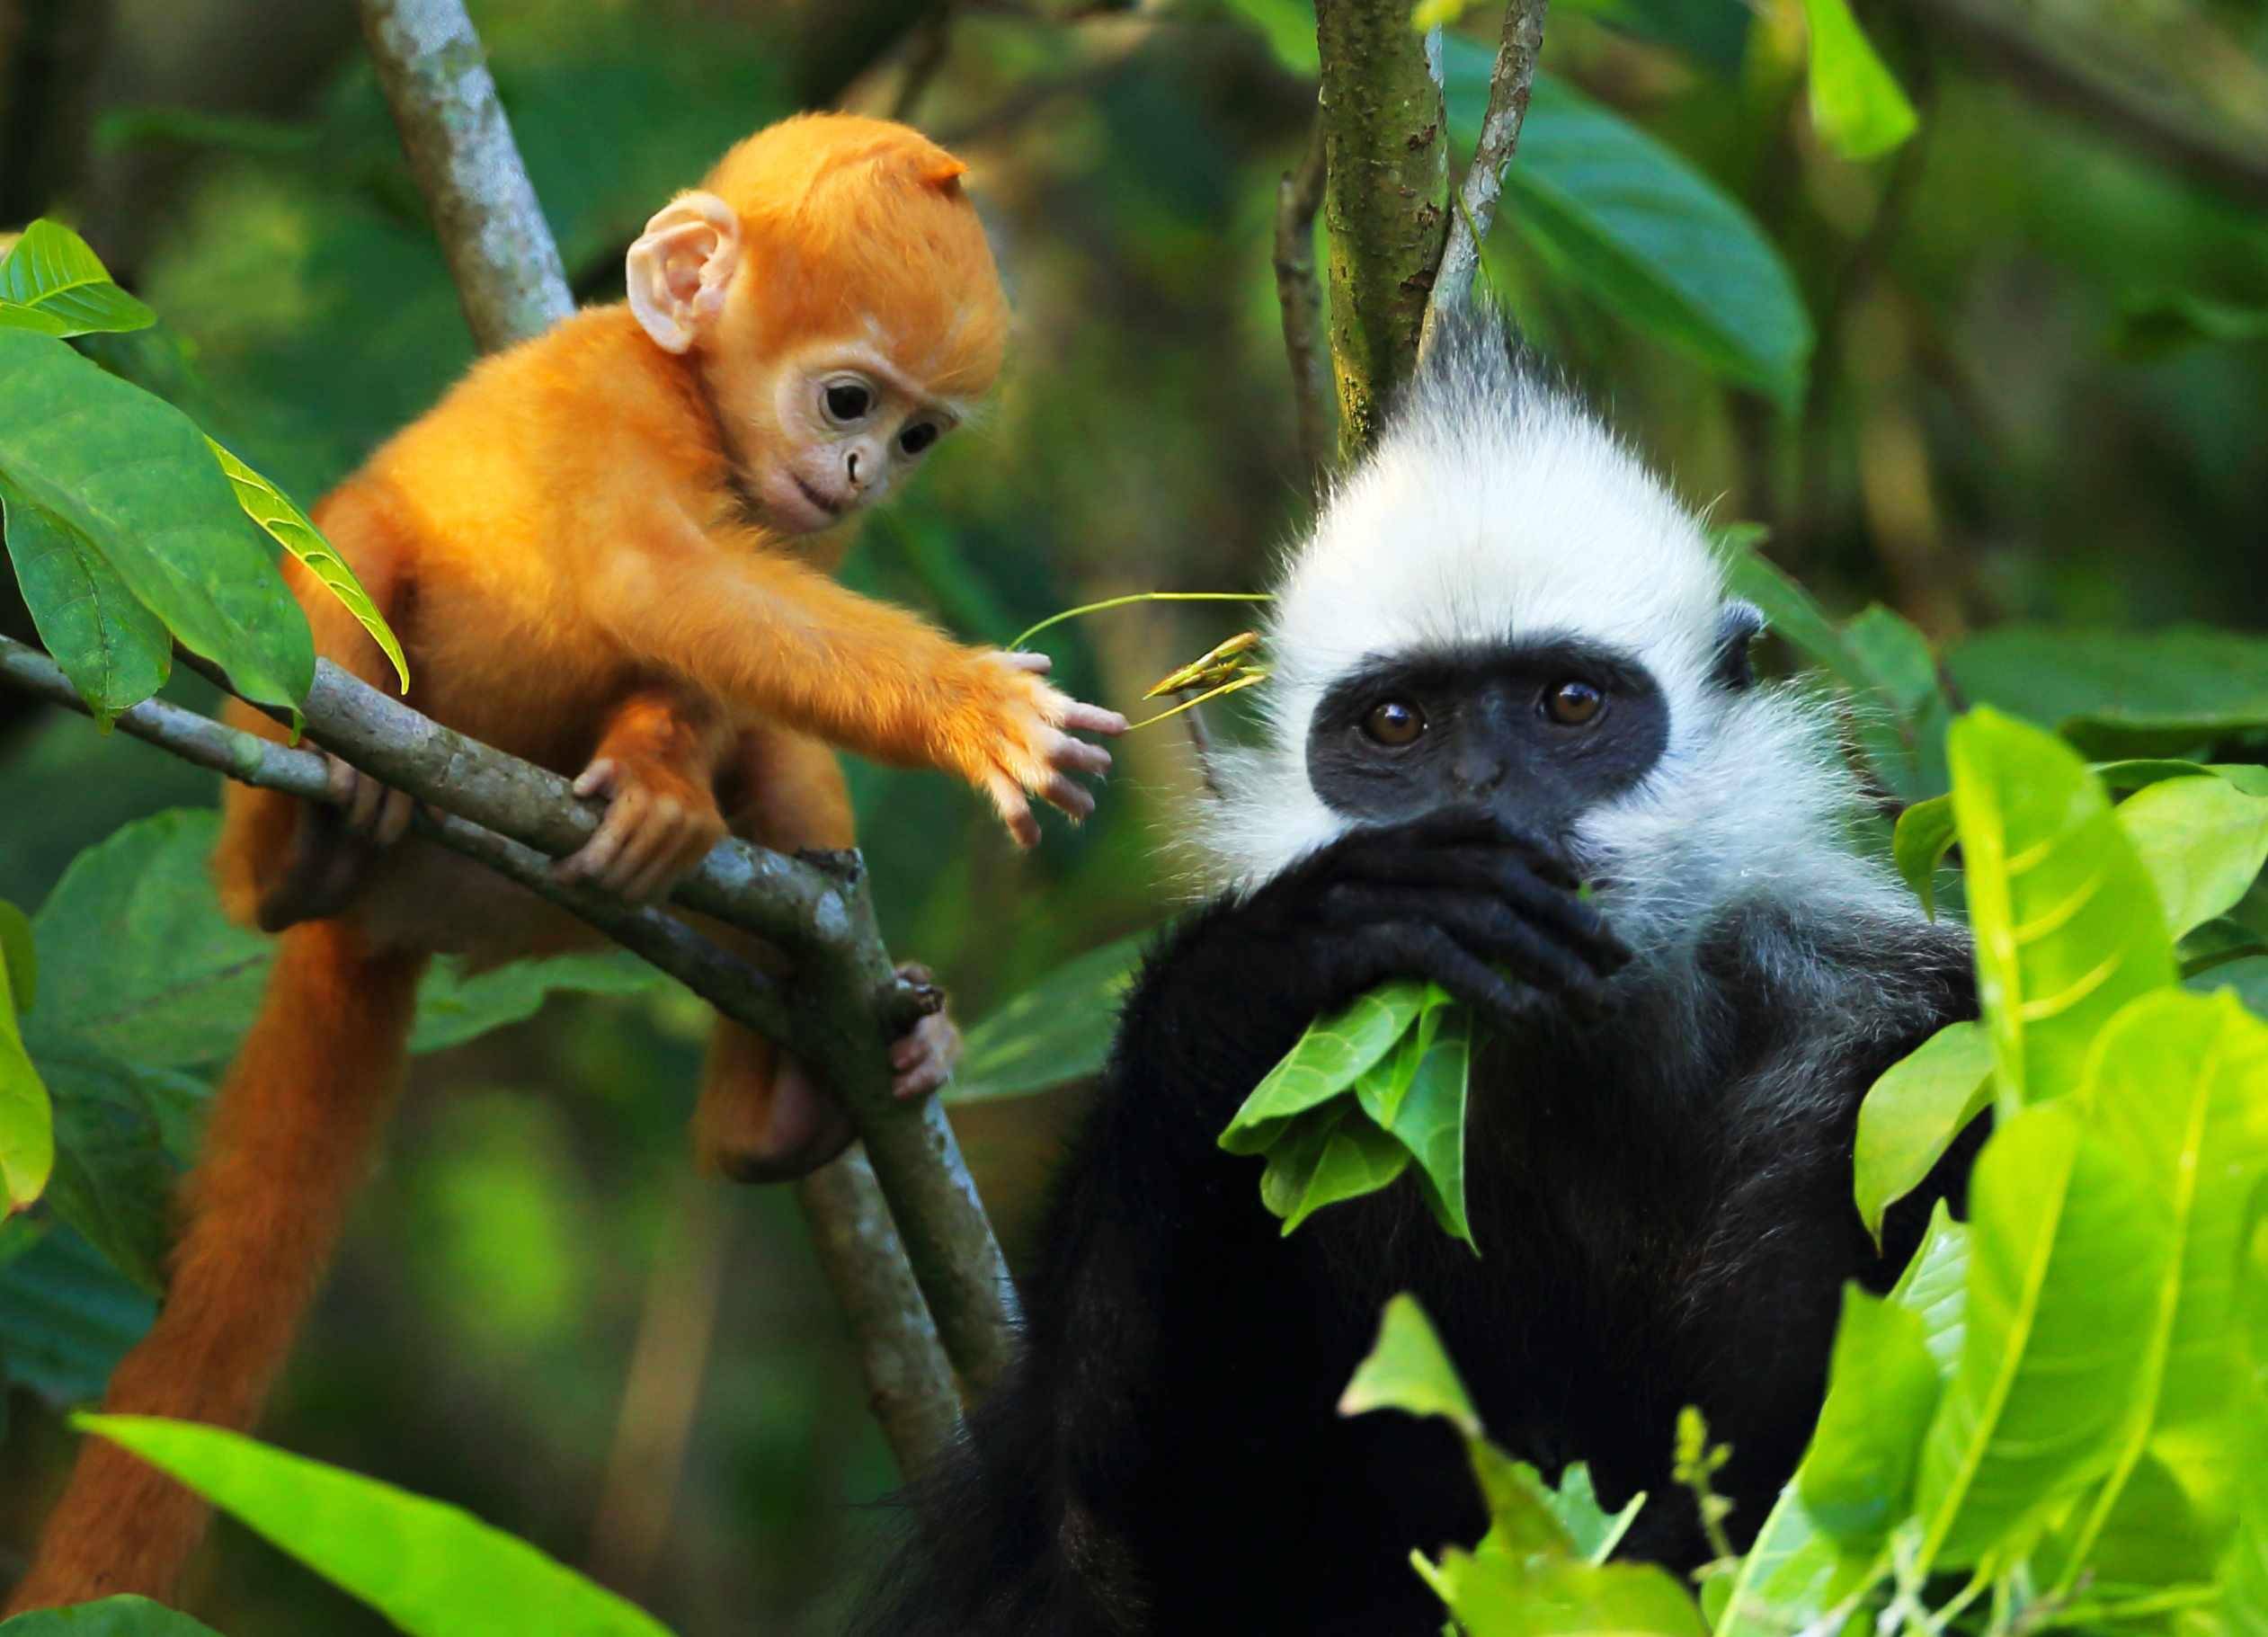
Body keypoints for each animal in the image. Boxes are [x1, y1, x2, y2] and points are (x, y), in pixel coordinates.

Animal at [8, 114, 1125, 1605]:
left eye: (915, 435)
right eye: (846, 402)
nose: (861, 474)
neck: (690, 396)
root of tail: (380, 924)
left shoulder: (794, 526)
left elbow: (707, 663)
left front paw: (659, 783)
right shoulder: (604, 401)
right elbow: (653, 574)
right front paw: (976, 709)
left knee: (787, 784)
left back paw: (788, 1102)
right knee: (358, 548)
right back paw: (301, 849)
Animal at [857, 308, 1978, 1632]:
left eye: (1567, 704)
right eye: (1397, 726)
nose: (1482, 797)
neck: (1567, 1079)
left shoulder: (1890, 1054)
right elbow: (1097, 1578)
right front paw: (1262, 969)